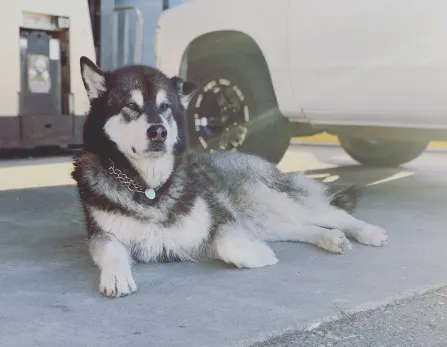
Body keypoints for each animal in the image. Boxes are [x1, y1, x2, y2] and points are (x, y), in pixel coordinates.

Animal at [72, 57, 386, 300]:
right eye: (131, 107)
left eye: (165, 108)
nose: (159, 132)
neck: (150, 187)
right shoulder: (102, 234)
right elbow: (110, 250)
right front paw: (115, 276)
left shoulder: (222, 218)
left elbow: (229, 245)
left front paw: (259, 256)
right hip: (263, 218)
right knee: (302, 227)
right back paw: (329, 237)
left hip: (270, 201)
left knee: (331, 213)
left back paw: (368, 232)